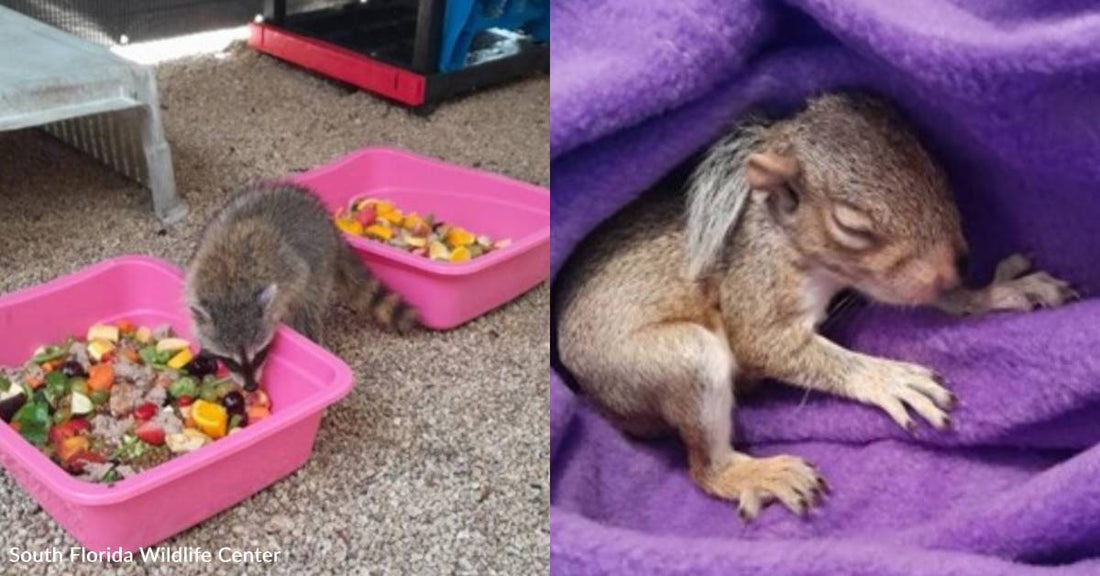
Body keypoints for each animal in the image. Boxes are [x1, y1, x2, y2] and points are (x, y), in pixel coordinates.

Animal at [185, 182, 417, 390]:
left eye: (259, 354)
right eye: (230, 360)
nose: (251, 387)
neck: (231, 292)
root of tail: (329, 225)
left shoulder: (291, 271)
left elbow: (298, 290)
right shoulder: (195, 275)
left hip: (320, 266)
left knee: (307, 309)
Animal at [555, 93, 1076, 521]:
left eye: (934, 167)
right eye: (850, 224)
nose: (954, 265)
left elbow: (931, 296)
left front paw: (997, 292)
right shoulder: (757, 279)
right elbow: (765, 343)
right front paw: (888, 379)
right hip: (675, 361)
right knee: (705, 468)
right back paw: (758, 474)